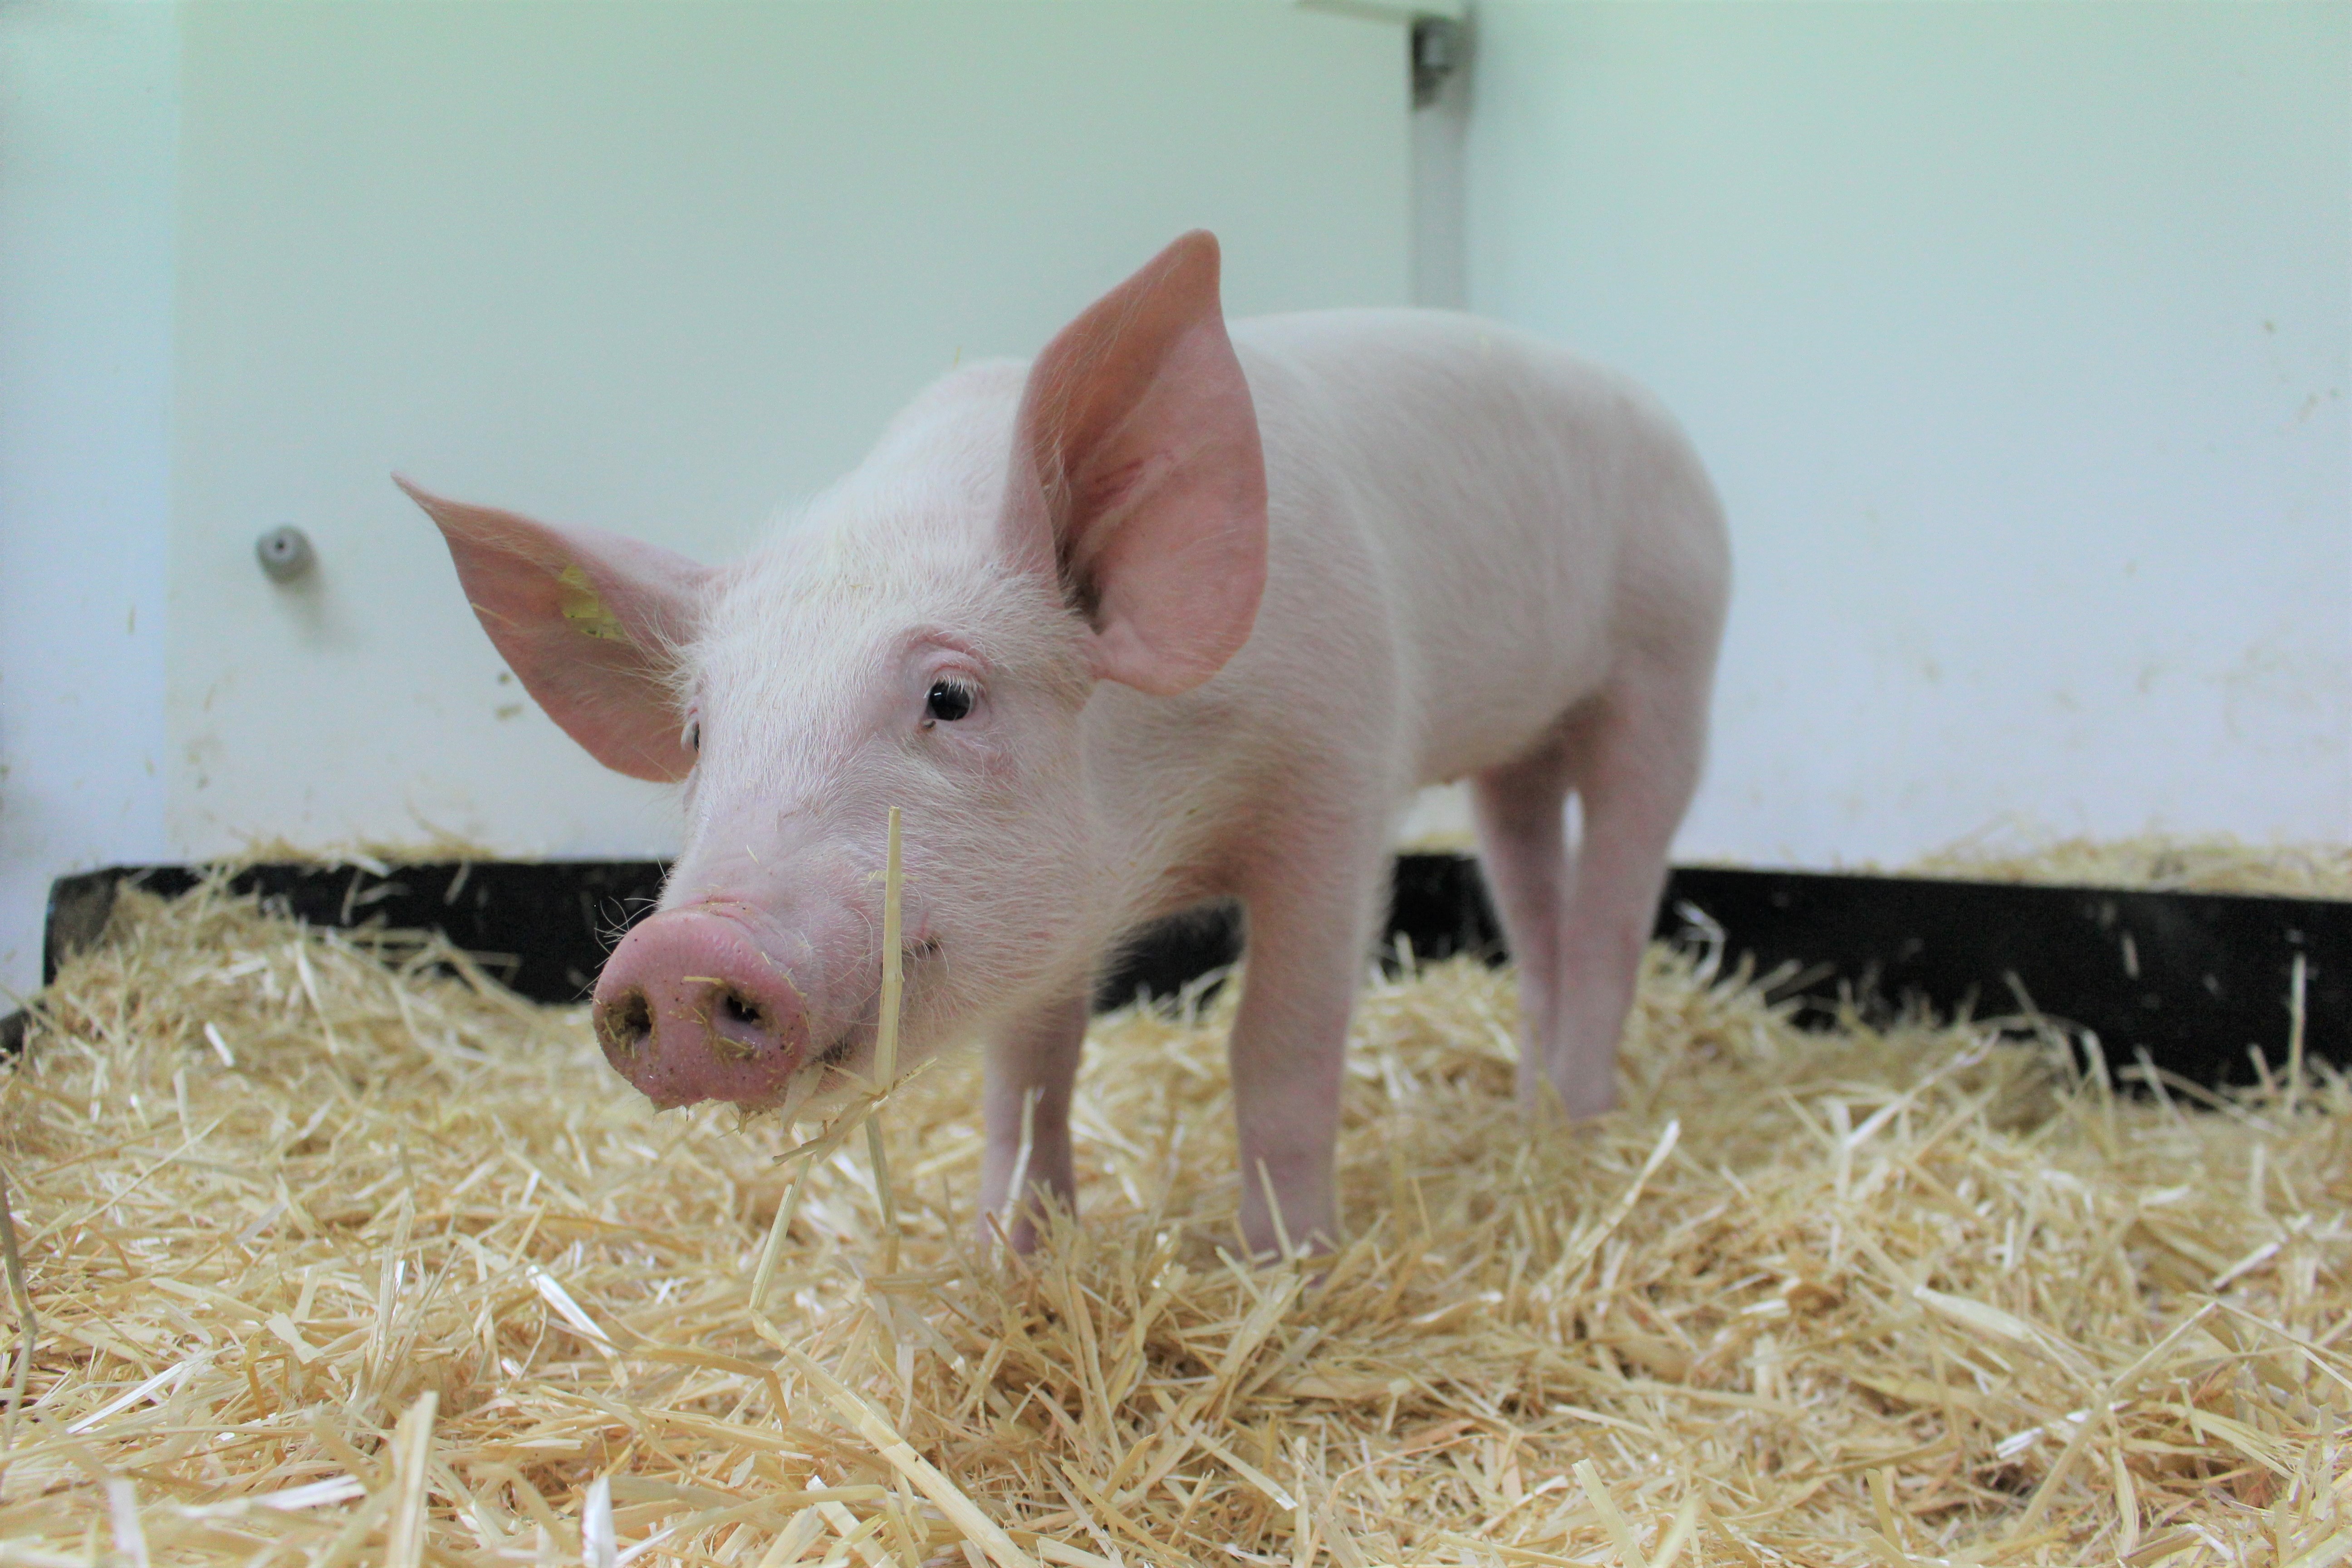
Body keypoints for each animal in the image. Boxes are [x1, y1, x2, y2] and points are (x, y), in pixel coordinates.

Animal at [401, 231, 1728, 1257]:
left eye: (950, 698)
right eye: (697, 729)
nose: (677, 952)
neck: (1171, 812)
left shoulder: (1340, 777)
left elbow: (1277, 1042)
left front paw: (1285, 1266)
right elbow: (1032, 1069)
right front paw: (1010, 1255)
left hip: (1671, 657)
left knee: (1615, 901)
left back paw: (1584, 1126)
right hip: (1524, 742)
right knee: (1533, 893)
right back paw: (1535, 1112)